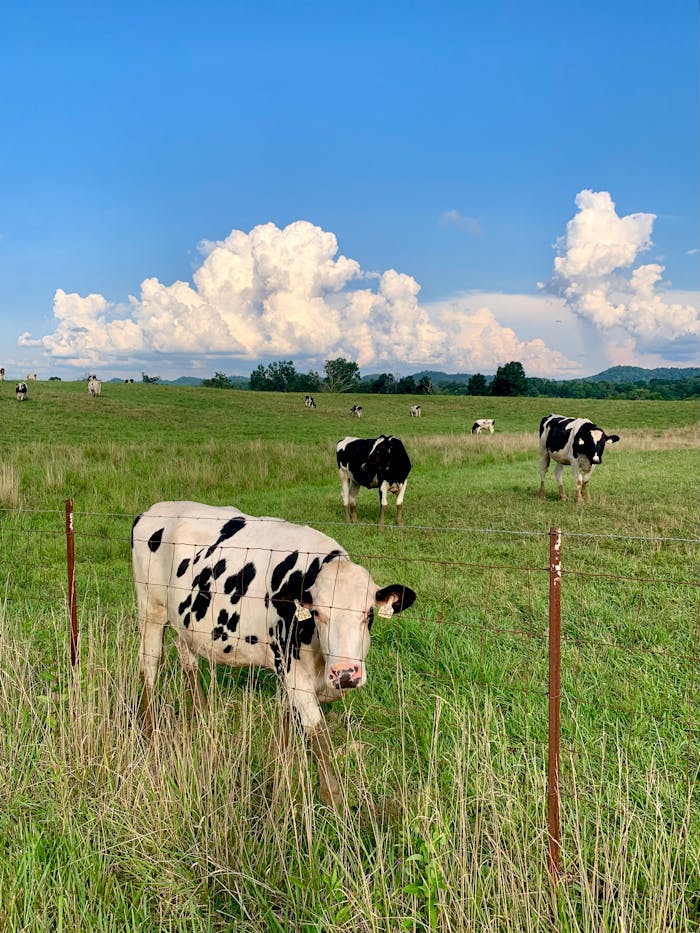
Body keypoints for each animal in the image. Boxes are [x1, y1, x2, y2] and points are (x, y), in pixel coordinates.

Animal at [132, 501, 417, 808]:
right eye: (318, 613)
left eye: (369, 613)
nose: (345, 674)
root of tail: (154, 509)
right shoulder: (292, 670)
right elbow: (318, 732)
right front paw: (333, 800)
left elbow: (287, 725)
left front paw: (280, 779)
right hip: (150, 609)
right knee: (149, 663)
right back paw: (148, 731)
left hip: (186, 623)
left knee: (187, 658)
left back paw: (202, 715)